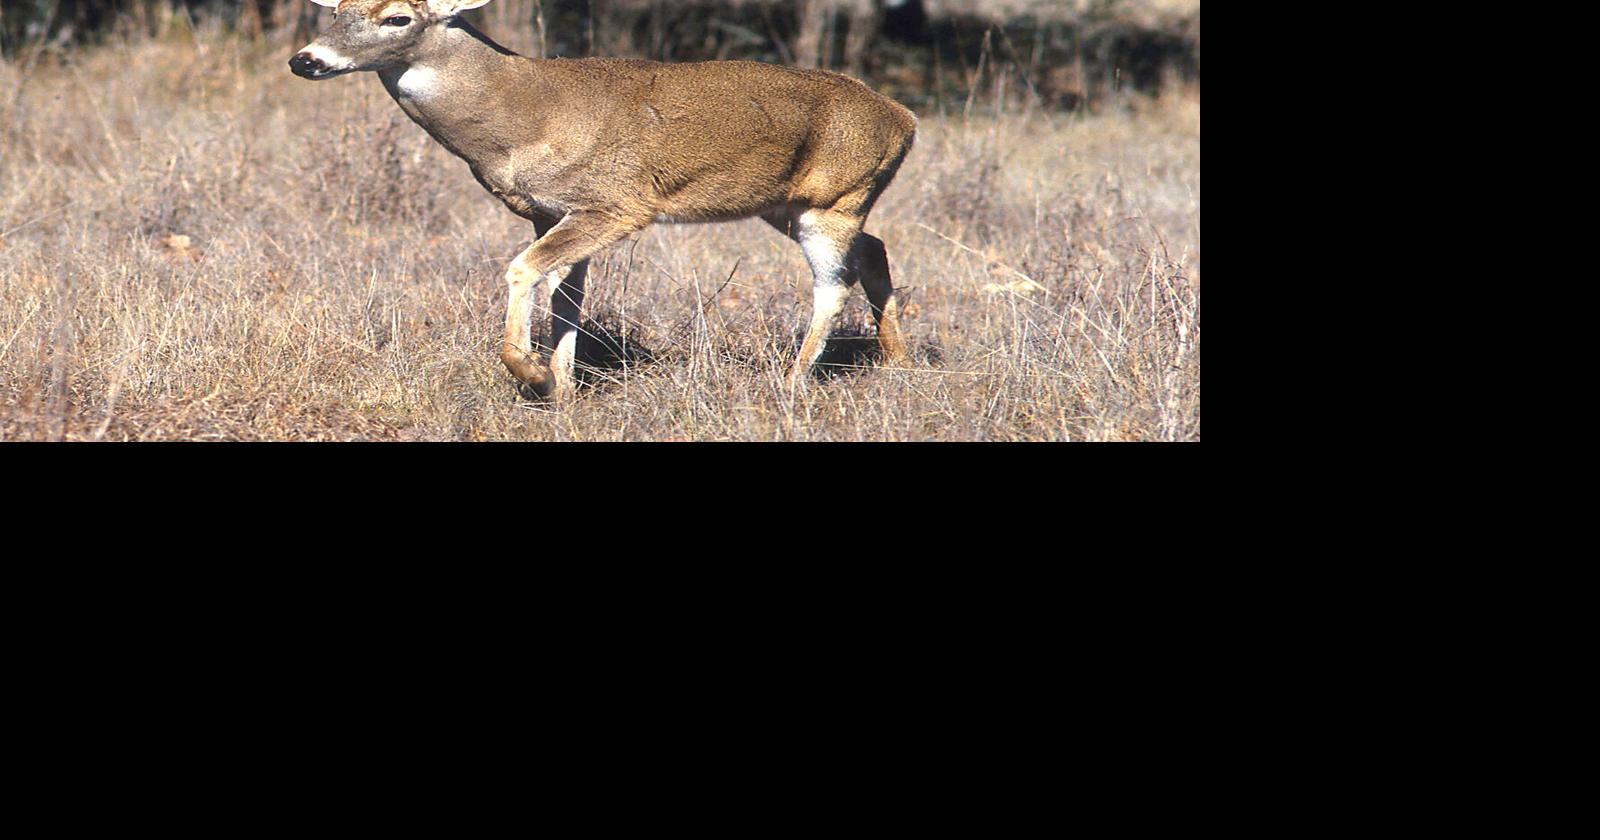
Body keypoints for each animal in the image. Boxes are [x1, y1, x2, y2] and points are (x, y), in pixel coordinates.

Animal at [289, 0, 916, 402]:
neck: (520, 120)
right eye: (337, 9)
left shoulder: (617, 202)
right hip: (787, 205)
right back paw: (899, 360)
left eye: (398, 17)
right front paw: (565, 389)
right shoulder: (549, 211)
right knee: (874, 249)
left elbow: (524, 271)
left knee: (833, 284)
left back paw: (790, 382)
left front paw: (534, 376)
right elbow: (566, 296)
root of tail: (904, 119)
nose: (306, 60)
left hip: (835, 199)